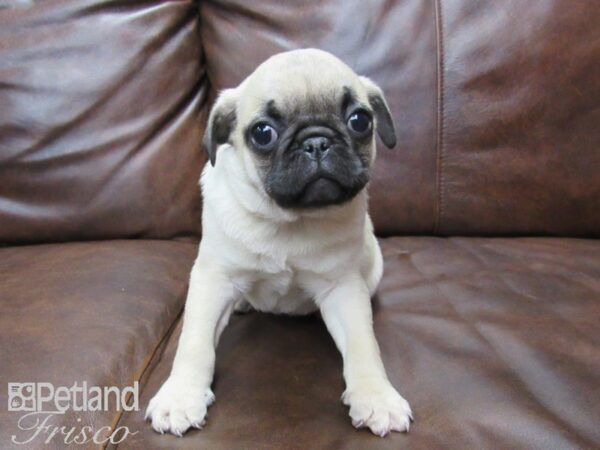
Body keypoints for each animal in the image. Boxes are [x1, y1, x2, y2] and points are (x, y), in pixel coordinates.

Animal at [148, 48, 414, 436]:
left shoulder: (343, 288)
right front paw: (181, 396)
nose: (316, 141)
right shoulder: (214, 279)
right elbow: (194, 343)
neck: (289, 220)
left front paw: (376, 396)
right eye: (263, 133)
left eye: (360, 121)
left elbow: (364, 346)